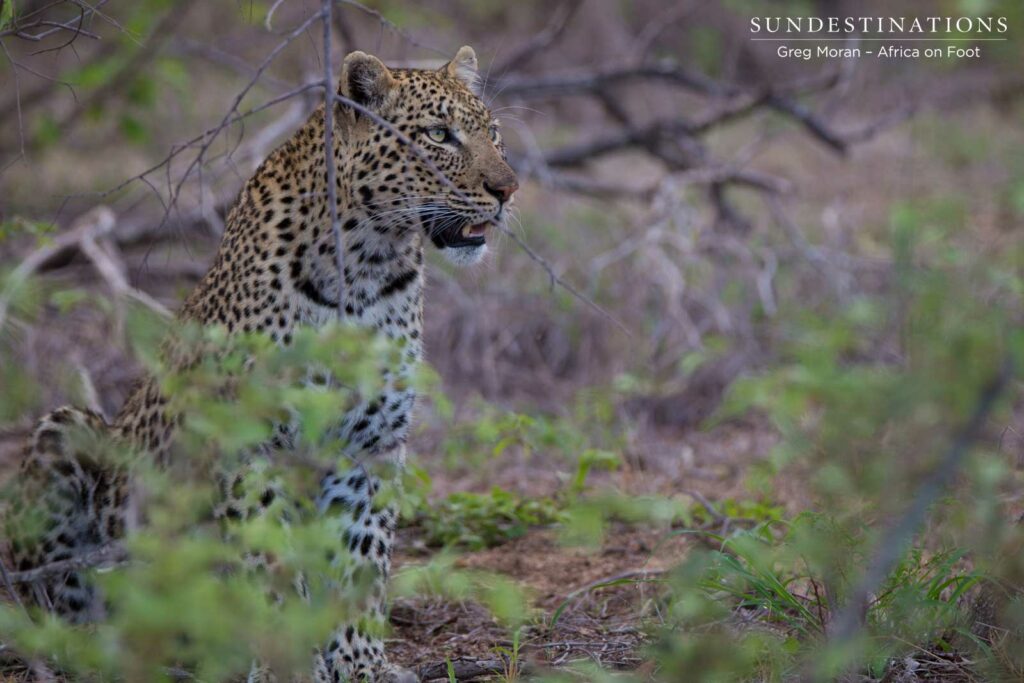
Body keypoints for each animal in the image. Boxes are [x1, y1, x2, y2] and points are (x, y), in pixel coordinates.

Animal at [5, 45, 518, 683]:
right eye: (438, 135)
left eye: (492, 133)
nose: (509, 189)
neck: (369, 267)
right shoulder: (249, 444)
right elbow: (269, 560)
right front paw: (287, 665)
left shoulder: (372, 445)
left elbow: (361, 560)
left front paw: (363, 663)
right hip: (67, 431)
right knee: (55, 603)